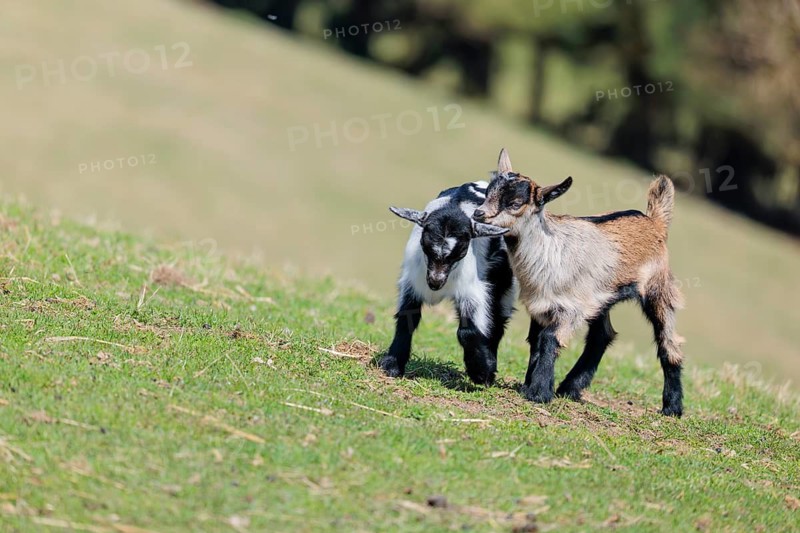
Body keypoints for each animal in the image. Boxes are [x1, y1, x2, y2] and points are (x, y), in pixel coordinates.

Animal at [381, 181, 518, 385]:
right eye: (425, 246)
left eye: (461, 251)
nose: (435, 283)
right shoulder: (411, 284)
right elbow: (406, 319)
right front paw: (392, 364)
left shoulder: (471, 290)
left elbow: (468, 331)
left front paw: (481, 373)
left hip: (504, 284)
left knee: (498, 321)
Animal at [473, 149, 684, 416]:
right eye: (488, 192)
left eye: (515, 203)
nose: (478, 214)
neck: (550, 251)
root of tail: (654, 222)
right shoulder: (541, 307)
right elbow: (536, 342)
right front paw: (531, 385)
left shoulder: (571, 308)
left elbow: (549, 339)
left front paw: (538, 393)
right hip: (602, 298)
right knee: (602, 336)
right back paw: (569, 388)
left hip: (658, 290)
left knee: (668, 342)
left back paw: (672, 408)